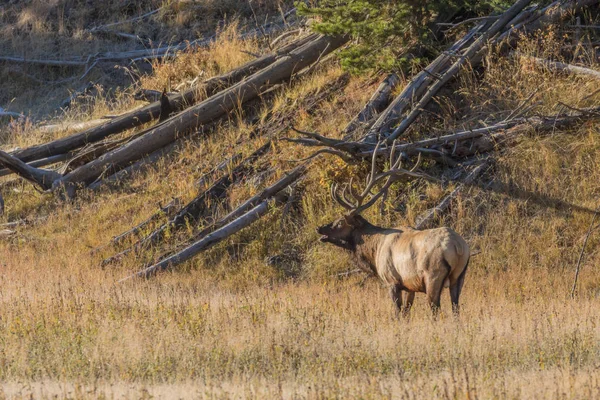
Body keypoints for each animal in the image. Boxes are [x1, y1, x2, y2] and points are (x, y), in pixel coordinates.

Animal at [316, 143, 472, 316]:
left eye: (339, 223)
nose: (320, 228)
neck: (374, 250)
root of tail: (458, 247)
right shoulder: (411, 286)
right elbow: (406, 312)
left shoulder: (392, 281)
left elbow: (398, 313)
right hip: (460, 276)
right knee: (456, 309)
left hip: (433, 274)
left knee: (435, 309)